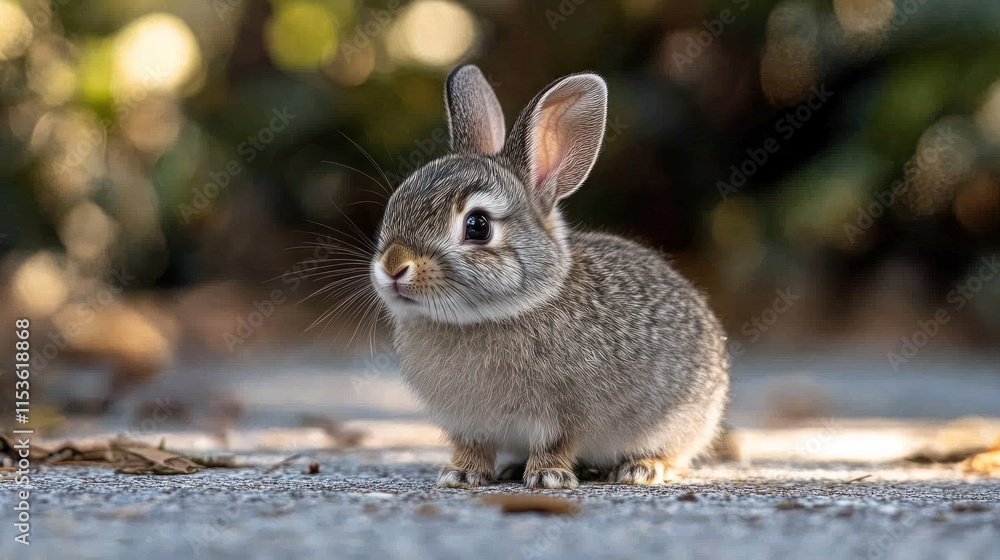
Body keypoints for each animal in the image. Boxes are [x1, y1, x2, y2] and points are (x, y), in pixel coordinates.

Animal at [370, 65, 730, 489]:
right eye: (395, 204)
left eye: (477, 226)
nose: (393, 265)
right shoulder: (467, 424)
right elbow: (474, 447)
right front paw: (461, 474)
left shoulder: (564, 415)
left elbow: (556, 443)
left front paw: (547, 478)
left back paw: (644, 468)